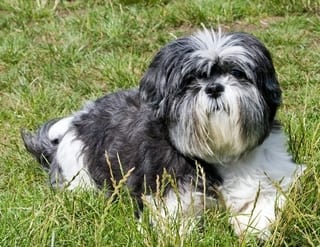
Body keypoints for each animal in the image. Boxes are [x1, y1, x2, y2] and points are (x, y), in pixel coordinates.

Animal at [21, 28, 304, 237]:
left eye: (236, 73)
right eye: (190, 80)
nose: (213, 87)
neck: (219, 154)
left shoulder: (275, 176)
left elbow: (266, 206)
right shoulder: (170, 200)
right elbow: (178, 225)